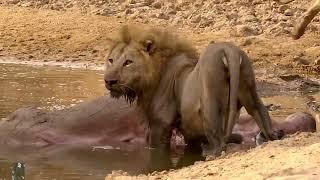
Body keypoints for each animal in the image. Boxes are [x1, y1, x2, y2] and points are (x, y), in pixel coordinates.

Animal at [104, 25, 282, 158]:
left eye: (128, 62)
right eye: (111, 60)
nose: (109, 81)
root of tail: (228, 50)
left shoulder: (161, 122)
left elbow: (156, 147)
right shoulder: (186, 128)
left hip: (209, 98)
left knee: (218, 139)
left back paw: (211, 153)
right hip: (248, 86)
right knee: (260, 111)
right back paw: (272, 136)